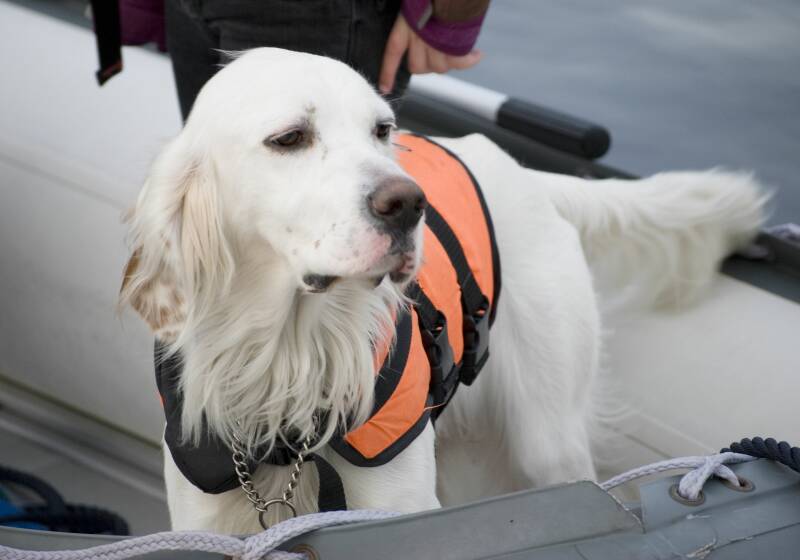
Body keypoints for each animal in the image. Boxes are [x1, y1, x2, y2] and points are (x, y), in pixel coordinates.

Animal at [120, 49, 764, 532]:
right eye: (289, 138)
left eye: (383, 130)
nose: (409, 203)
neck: (292, 360)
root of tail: (522, 171)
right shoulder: (210, 517)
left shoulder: (396, 507)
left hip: (548, 437)